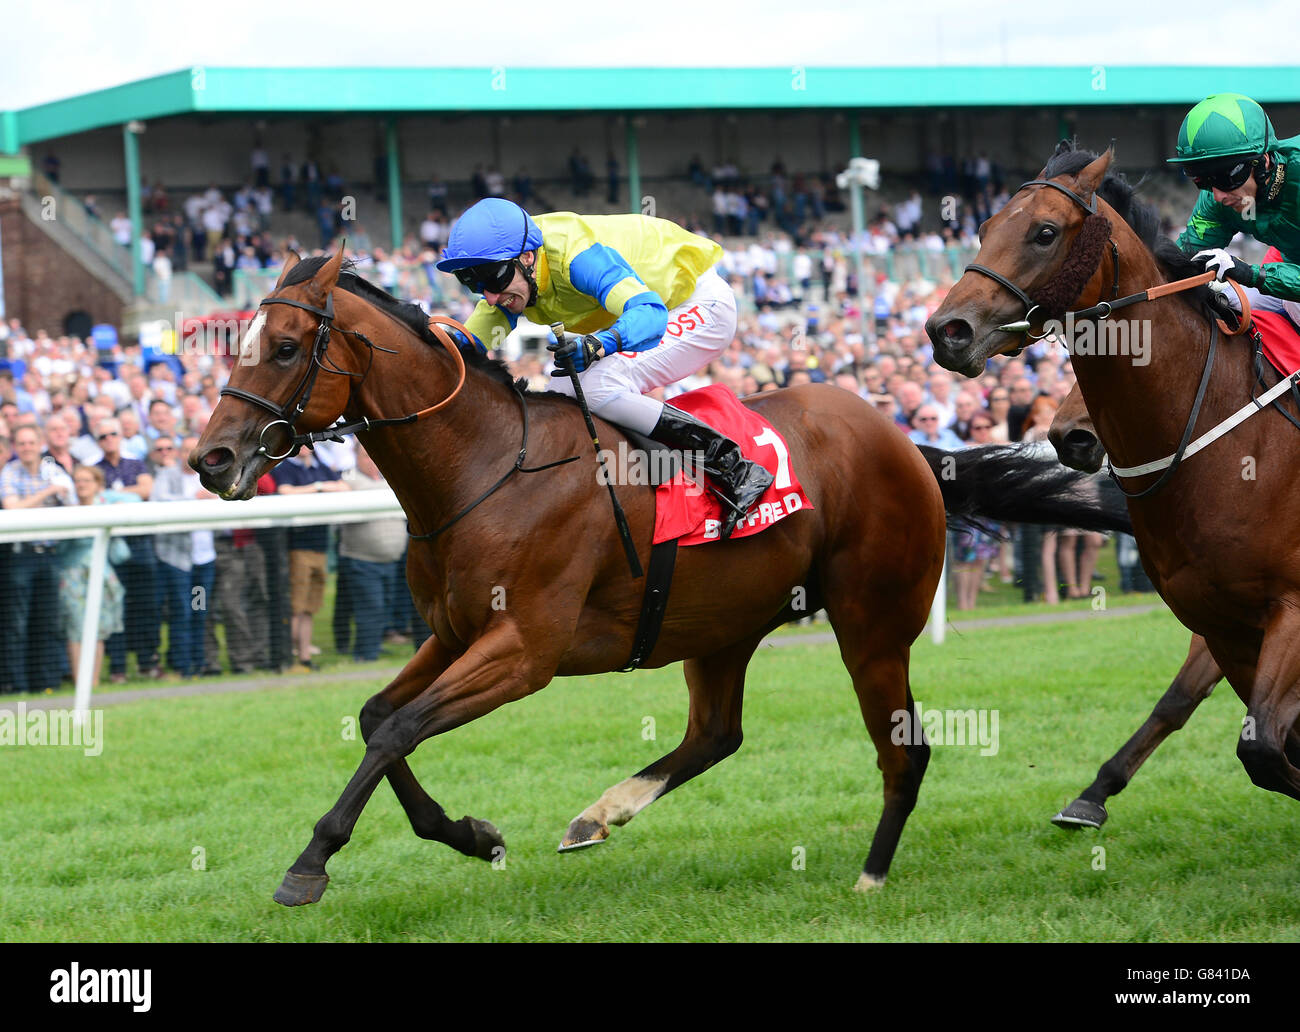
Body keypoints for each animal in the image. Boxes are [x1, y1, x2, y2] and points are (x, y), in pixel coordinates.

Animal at [192, 246, 1128, 899]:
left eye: (284, 346)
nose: (212, 459)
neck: (485, 466)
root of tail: (908, 443)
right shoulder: (455, 633)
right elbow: (379, 717)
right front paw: (471, 834)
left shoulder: (524, 649)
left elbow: (398, 730)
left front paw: (311, 863)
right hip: (722, 621)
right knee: (717, 734)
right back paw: (599, 815)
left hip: (871, 622)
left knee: (905, 751)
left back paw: (871, 873)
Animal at [930, 141, 1300, 821]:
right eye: (984, 226)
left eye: (1045, 232)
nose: (948, 330)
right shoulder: (1221, 621)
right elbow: (1242, 731)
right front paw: (1090, 796)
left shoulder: (1286, 606)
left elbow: (1265, 744)